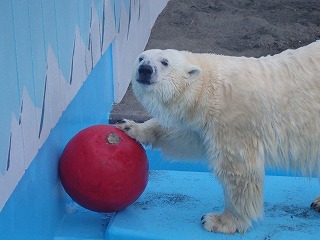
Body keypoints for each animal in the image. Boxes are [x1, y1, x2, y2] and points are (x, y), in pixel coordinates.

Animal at [116, 41, 320, 234]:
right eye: (141, 58)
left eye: (164, 62)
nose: (145, 70)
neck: (213, 89)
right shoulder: (203, 124)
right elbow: (183, 137)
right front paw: (131, 127)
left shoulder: (235, 121)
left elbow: (239, 171)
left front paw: (221, 221)